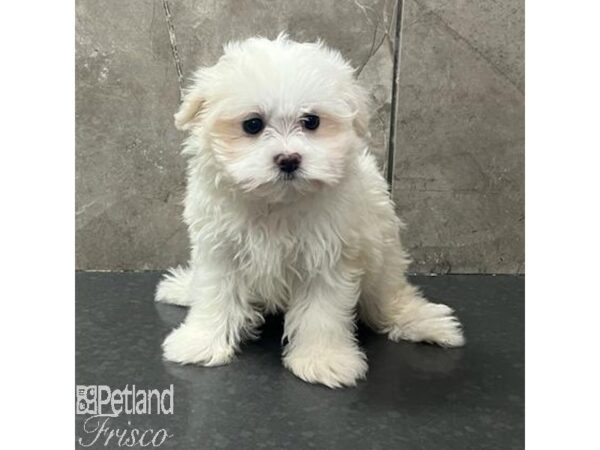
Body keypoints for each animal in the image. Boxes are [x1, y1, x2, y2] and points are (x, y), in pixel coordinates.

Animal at [156, 35, 464, 388]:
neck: (277, 202)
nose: (289, 159)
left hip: (383, 255)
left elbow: (322, 312)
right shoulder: (220, 250)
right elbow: (215, 296)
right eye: (252, 125)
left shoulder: (329, 257)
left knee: (388, 297)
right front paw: (200, 342)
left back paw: (424, 321)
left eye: (311, 121)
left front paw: (323, 359)